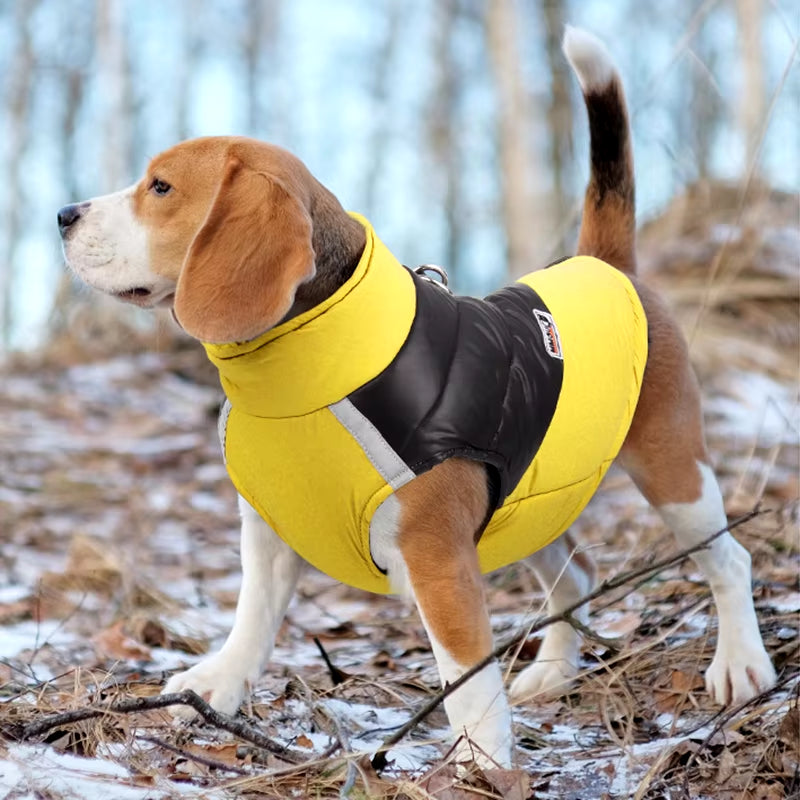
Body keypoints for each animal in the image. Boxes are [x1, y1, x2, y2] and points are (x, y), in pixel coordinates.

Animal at [57, 28, 776, 764]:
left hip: (673, 469)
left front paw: (478, 764)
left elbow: (466, 679)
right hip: (525, 500)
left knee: (728, 559)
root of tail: (604, 264)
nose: (63, 214)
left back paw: (741, 663)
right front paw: (217, 686)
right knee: (577, 573)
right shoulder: (270, 527)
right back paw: (552, 671)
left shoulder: (437, 556)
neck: (308, 375)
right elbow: (252, 618)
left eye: (161, 187)